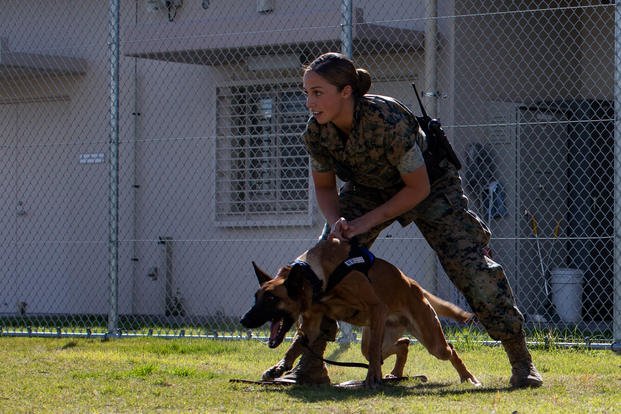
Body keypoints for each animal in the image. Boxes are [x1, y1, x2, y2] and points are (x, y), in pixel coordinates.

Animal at [239, 238, 480, 386]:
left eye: (272, 298)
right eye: (256, 297)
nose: (243, 320)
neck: (315, 276)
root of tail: (414, 285)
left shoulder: (377, 307)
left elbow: (373, 354)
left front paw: (372, 377)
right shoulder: (311, 324)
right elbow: (295, 346)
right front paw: (278, 368)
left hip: (431, 341)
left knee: (448, 349)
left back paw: (468, 377)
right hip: (378, 334)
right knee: (402, 344)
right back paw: (395, 374)